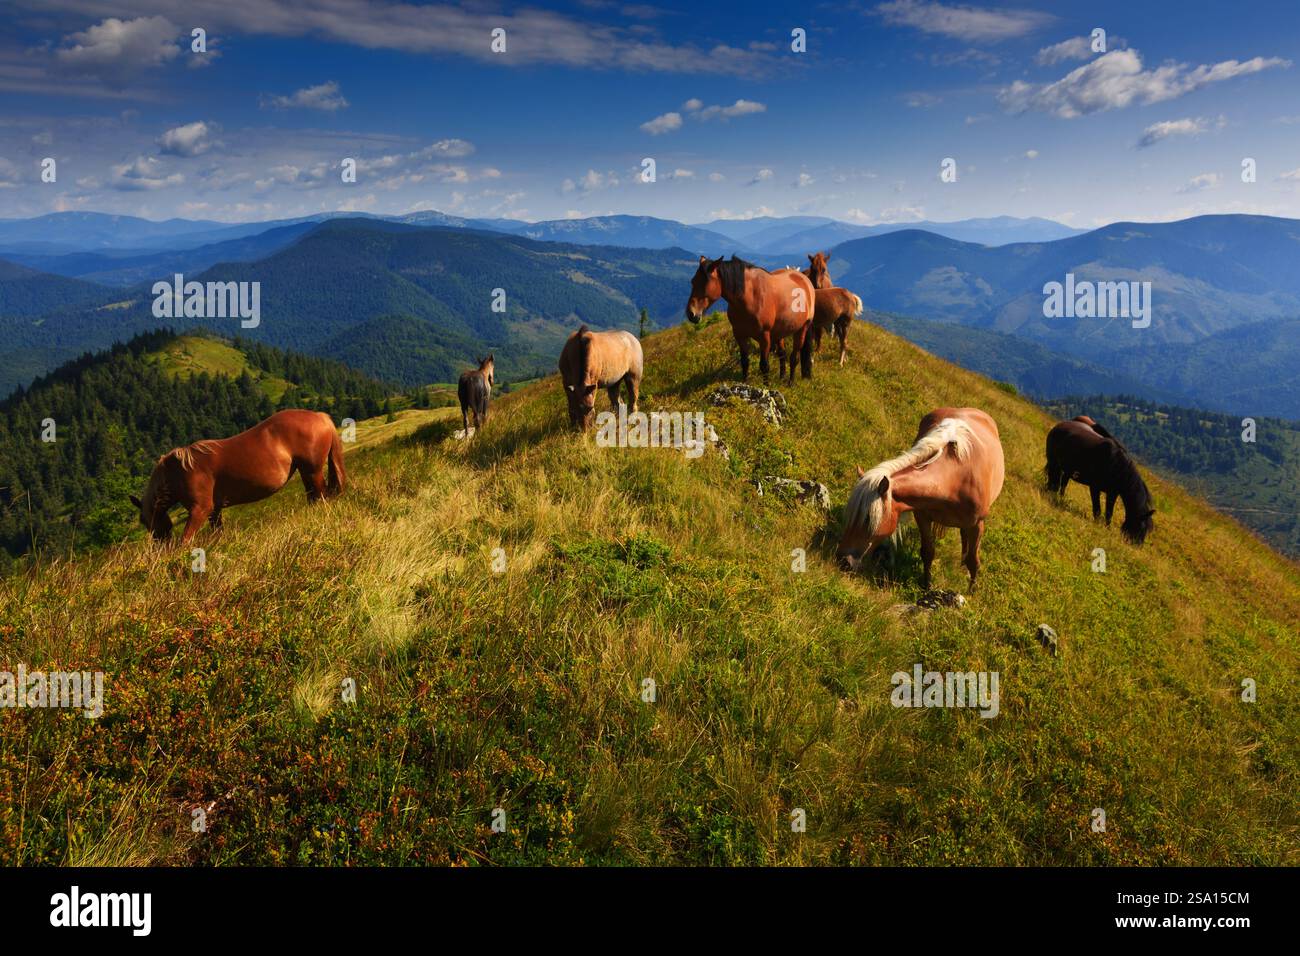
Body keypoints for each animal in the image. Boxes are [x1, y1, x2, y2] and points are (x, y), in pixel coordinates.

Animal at [130, 409, 345, 545]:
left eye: (146, 519)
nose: (160, 545)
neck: (178, 472)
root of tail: (319, 416)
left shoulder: (200, 509)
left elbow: (185, 540)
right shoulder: (214, 510)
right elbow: (217, 533)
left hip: (313, 471)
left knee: (321, 495)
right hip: (306, 472)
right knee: (313, 496)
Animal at [685, 255, 815, 383]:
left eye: (705, 283)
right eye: (693, 281)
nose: (691, 313)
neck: (751, 298)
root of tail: (804, 279)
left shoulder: (764, 337)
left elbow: (764, 365)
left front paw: (766, 386)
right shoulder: (740, 335)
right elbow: (745, 362)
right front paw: (745, 383)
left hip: (802, 328)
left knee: (794, 358)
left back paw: (790, 383)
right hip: (780, 332)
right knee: (782, 354)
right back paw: (782, 377)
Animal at [837, 407, 1005, 592]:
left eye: (868, 519)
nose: (842, 561)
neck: (955, 479)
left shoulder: (977, 525)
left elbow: (973, 562)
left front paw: (970, 591)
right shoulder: (923, 517)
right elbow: (928, 552)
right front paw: (927, 585)